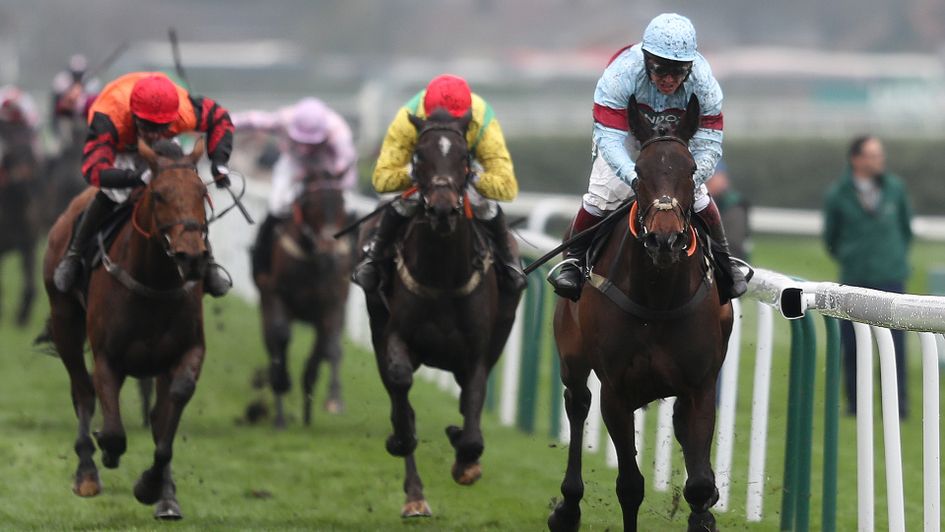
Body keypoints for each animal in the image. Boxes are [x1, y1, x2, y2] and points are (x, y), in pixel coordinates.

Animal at [41, 138, 214, 520]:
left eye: (202, 192)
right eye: (159, 194)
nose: (192, 257)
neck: (155, 282)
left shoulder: (187, 350)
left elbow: (171, 408)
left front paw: (155, 487)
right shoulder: (107, 357)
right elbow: (112, 427)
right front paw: (105, 451)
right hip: (64, 321)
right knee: (83, 390)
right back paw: (87, 472)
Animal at [253, 170, 352, 428]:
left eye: (342, 205)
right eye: (312, 205)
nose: (330, 255)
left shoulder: (332, 305)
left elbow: (328, 347)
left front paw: (328, 397)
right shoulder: (276, 295)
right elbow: (281, 335)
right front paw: (282, 383)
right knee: (273, 343)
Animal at [360, 109, 524, 520]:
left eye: (464, 157)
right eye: (419, 156)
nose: (443, 208)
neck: (443, 276)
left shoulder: (478, 354)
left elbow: (473, 418)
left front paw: (465, 458)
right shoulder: (394, 338)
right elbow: (401, 393)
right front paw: (401, 440)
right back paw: (415, 496)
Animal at [544, 95, 736, 532]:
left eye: (691, 170)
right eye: (640, 173)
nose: (665, 239)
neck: (658, 299)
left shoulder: (700, 385)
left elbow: (699, 484)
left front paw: (706, 506)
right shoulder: (616, 393)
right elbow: (630, 486)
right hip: (573, 359)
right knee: (577, 404)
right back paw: (567, 507)